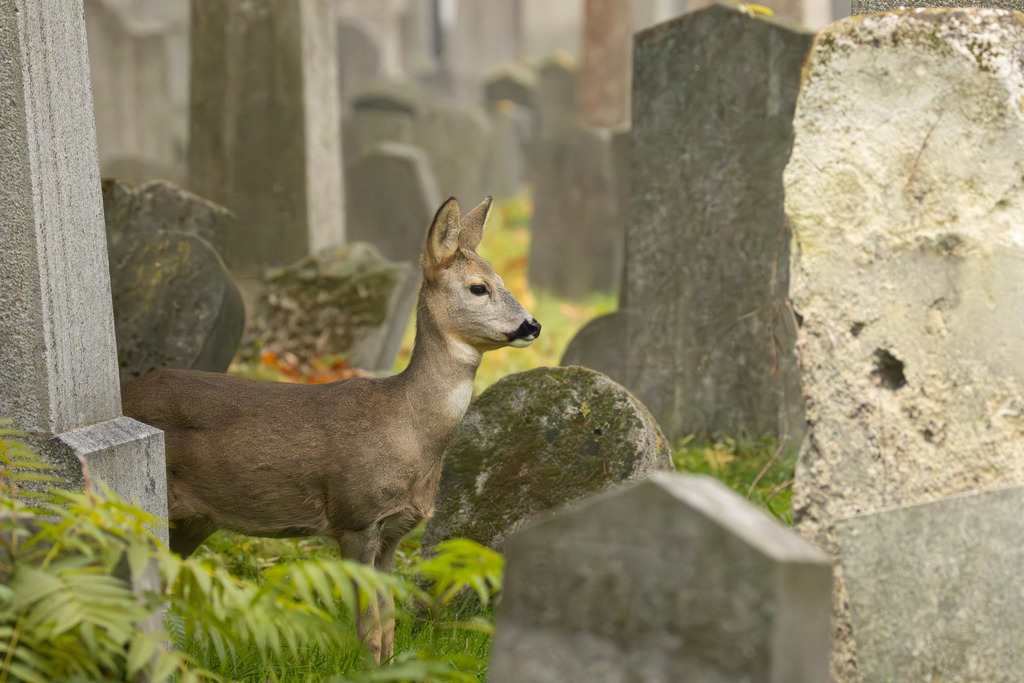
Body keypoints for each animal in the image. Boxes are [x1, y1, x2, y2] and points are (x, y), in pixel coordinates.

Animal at [121, 196, 540, 662]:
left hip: (195, 520)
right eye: (478, 288)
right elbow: (370, 631)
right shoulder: (355, 515)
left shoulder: (393, 532)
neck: (407, 427)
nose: (532, 325)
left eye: (502, 279)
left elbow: (389, 627)